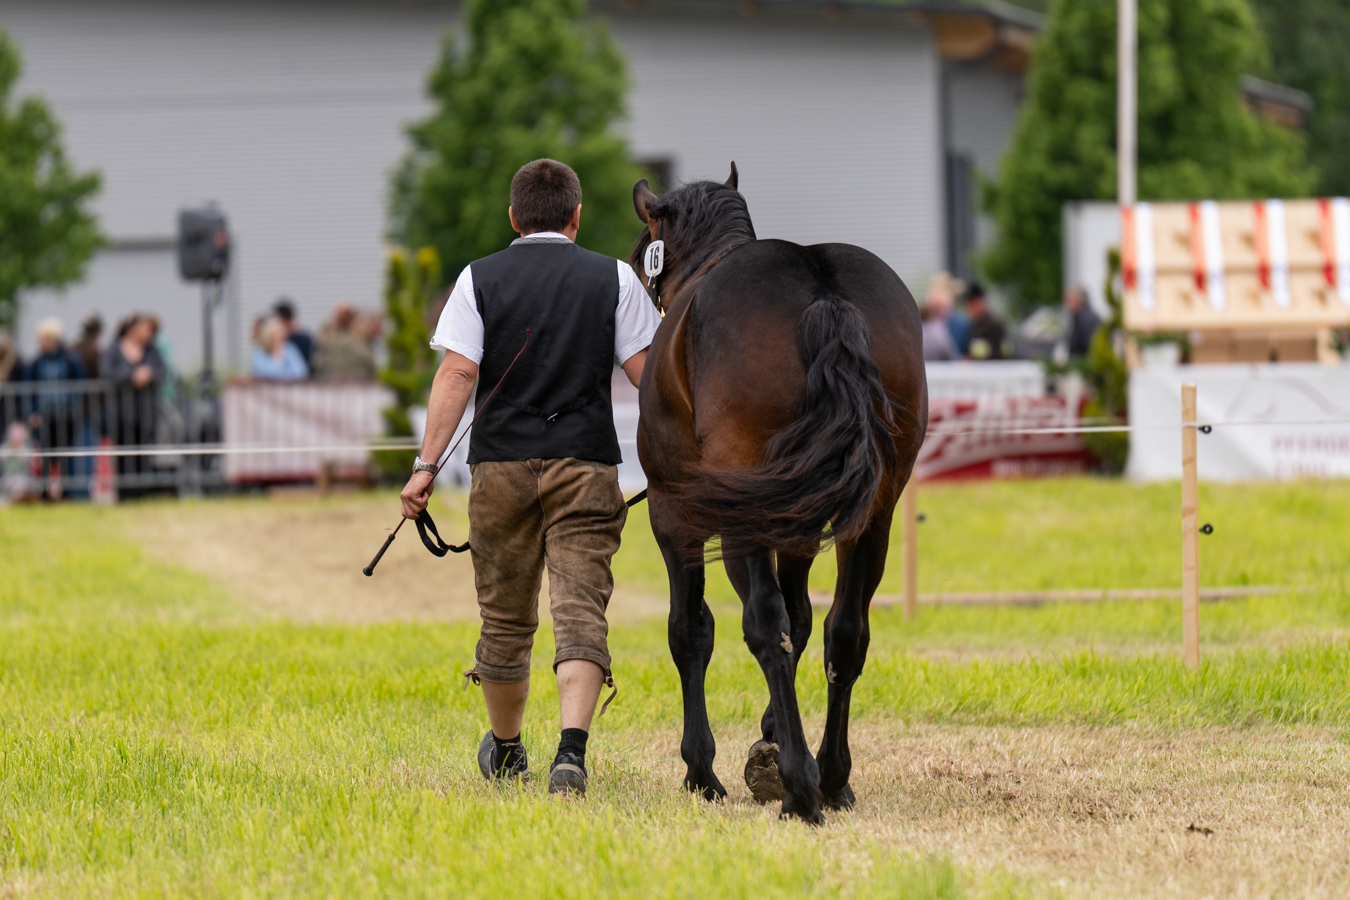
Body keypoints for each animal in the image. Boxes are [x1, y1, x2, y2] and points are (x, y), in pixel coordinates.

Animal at [629, 163, 928, 824]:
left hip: (739, 519)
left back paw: (799, 786)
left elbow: (691, 630)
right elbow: (805, 620)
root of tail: (823, 294)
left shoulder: (675, 516)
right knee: (846, 631)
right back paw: (833, 776)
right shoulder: (798, 527)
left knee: (762, 624)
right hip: (872, 514)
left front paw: (703, 769)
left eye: (642, 256)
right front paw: (770, 737)